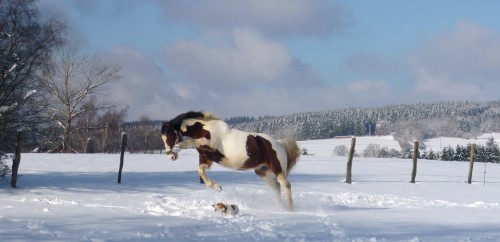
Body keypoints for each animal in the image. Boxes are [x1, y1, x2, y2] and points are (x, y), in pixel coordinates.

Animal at [160, 111, 300, 210]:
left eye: (170, 135)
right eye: (162, 137)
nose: (171, 156)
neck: (204, 129)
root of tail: (280, 144)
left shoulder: (207, 144)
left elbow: (186, 143)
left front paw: (176, 149)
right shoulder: (206, 157)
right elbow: (201, 171)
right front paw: (216, 187)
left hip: (277, 169)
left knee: (286, 186)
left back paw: (290, 210)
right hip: (262, 171)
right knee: (276, 187)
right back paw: (279, 207)